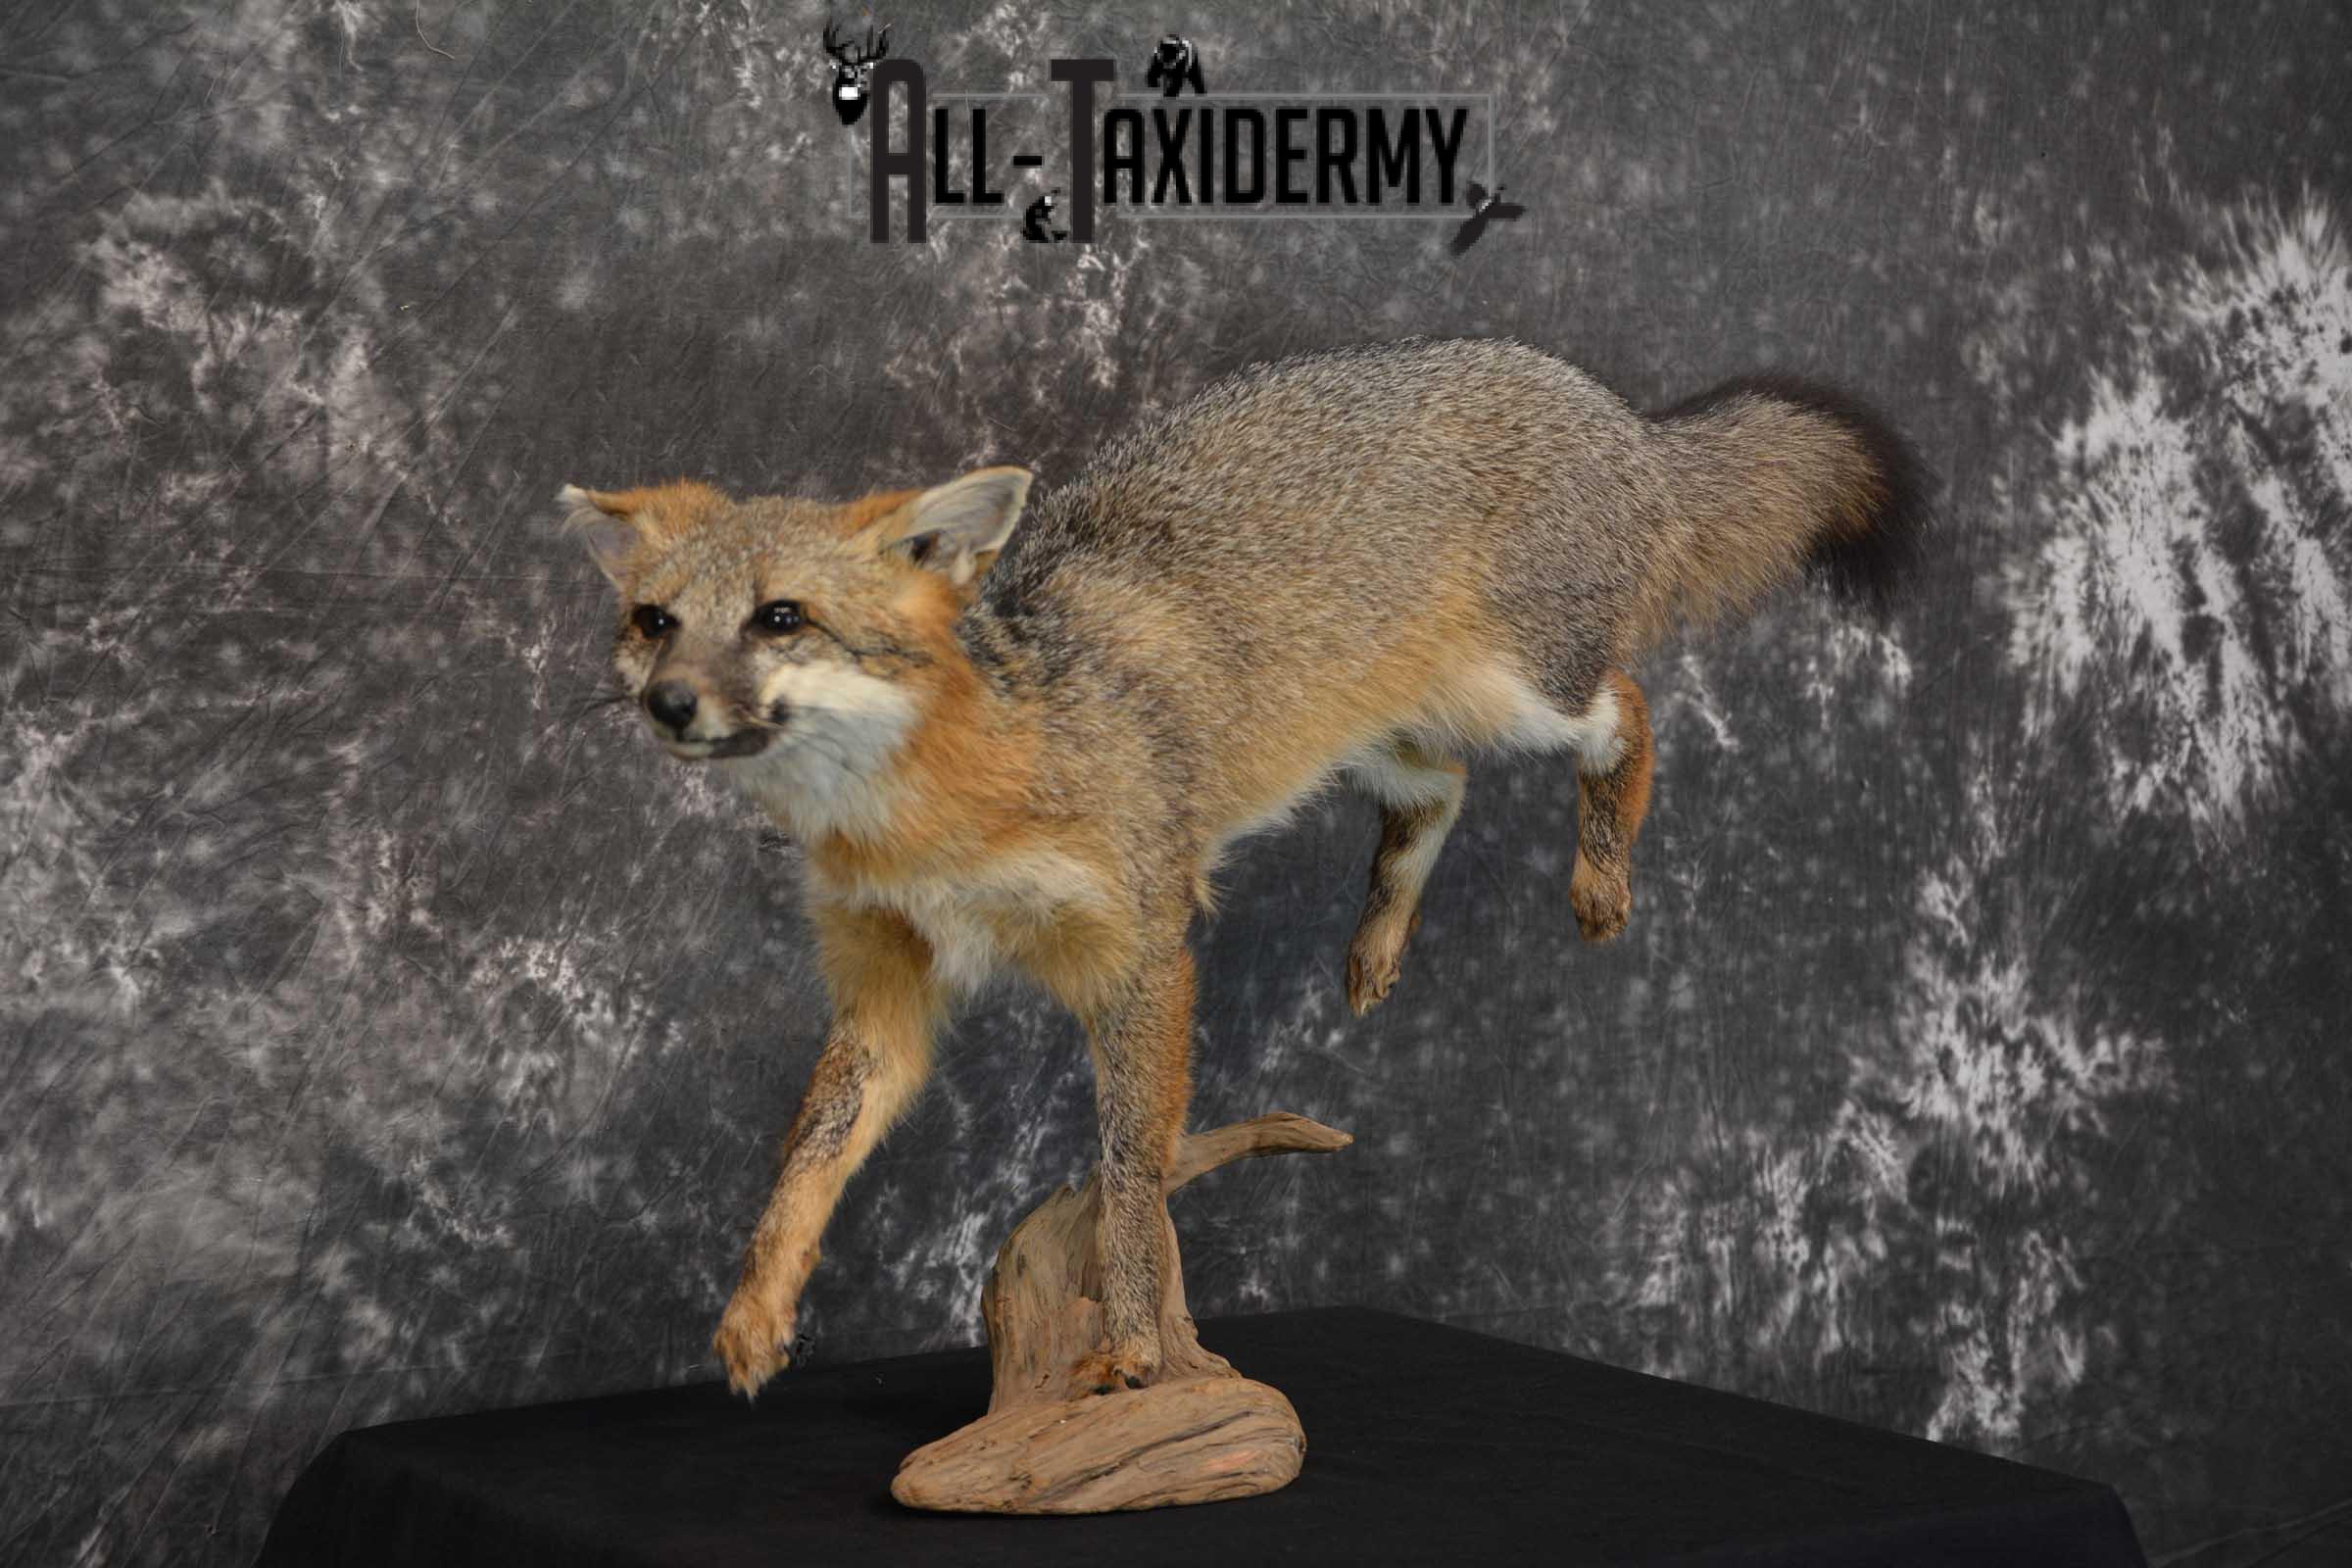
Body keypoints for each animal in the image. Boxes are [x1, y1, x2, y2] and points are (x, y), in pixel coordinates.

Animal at [558, 337, 1923, 1402]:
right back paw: (1375, 948)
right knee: (1444, 789)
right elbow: (806, 1161)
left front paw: (1135, 1345)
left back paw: (1599, 880)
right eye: (655, 623)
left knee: (1630, 713)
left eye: (780, 618)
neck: (929, 818)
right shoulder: (885, 986)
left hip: (1522, 692)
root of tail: (1610, 408)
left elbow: (1132, 1174)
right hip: (1374, 733)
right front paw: (755, 1314)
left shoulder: (1143, 950)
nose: (670, 704)